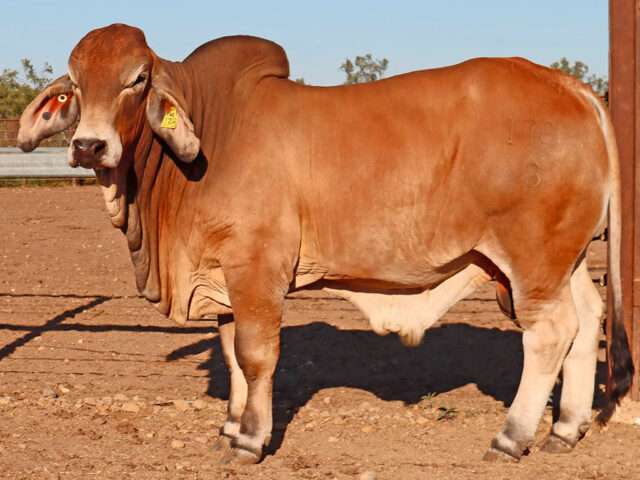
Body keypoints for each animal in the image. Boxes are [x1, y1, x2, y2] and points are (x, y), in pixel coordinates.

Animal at [17, 24, 633, 464]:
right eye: (72, 83)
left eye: (138, 78)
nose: (89, 146)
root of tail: (573, 88)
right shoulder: (224, 277)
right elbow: (232, 354)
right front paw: (230, 429)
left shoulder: (257, 266)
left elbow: (256, 354)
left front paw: (250, 441)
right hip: (567, 259)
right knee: (587, 319)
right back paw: (565, 430)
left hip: (531, 260)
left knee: (550, 334)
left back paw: (511, 437)